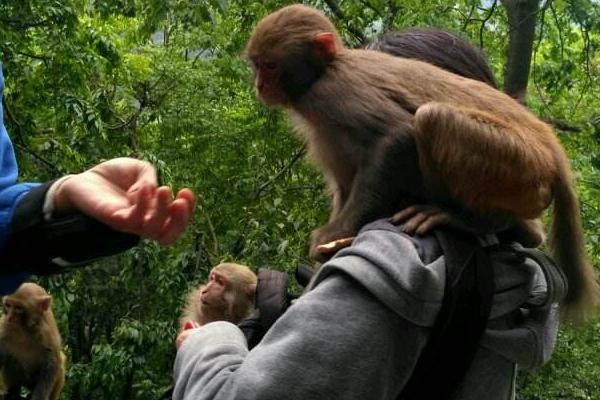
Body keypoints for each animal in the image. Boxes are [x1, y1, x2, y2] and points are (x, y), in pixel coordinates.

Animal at [245, 4, 600, 320]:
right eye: (257, 65)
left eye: (270, 66)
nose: (259, 85)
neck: (325, 70)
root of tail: (550, 145)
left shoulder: (331, 93)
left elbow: (397, 136)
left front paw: (335, 236)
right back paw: (522, 232)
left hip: (520, 165)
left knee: (432, 117)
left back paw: (471, 221)